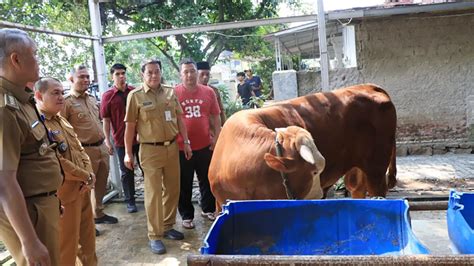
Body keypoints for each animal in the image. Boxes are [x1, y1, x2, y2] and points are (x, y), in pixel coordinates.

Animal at [209, 84, 398, 211]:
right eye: (314, 172)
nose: (320, 195)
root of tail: (369, 87)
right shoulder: (219, 203)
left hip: (376, 168)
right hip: (357, 169)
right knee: (357, 189)